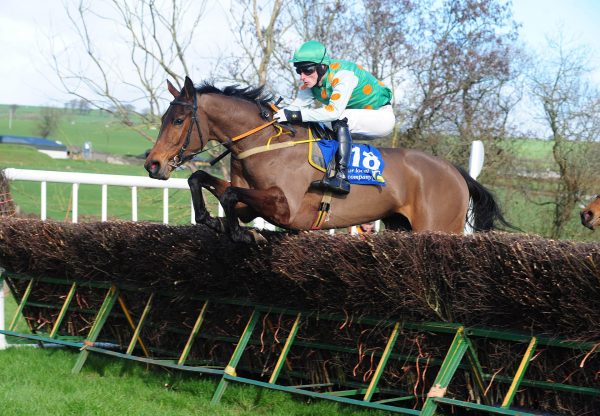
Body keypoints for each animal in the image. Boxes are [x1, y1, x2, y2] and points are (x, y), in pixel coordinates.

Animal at [144, 76, 506, 242]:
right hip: (399, 225)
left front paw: (242, 234)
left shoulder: (287, 209)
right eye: (162, 118)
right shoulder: (252, 205)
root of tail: (456, 172)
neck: (264, 144)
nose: (153, 164)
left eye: (178, 120)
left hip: (438, 227)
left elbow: (231, 194)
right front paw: (212, 220)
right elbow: (203, 181)